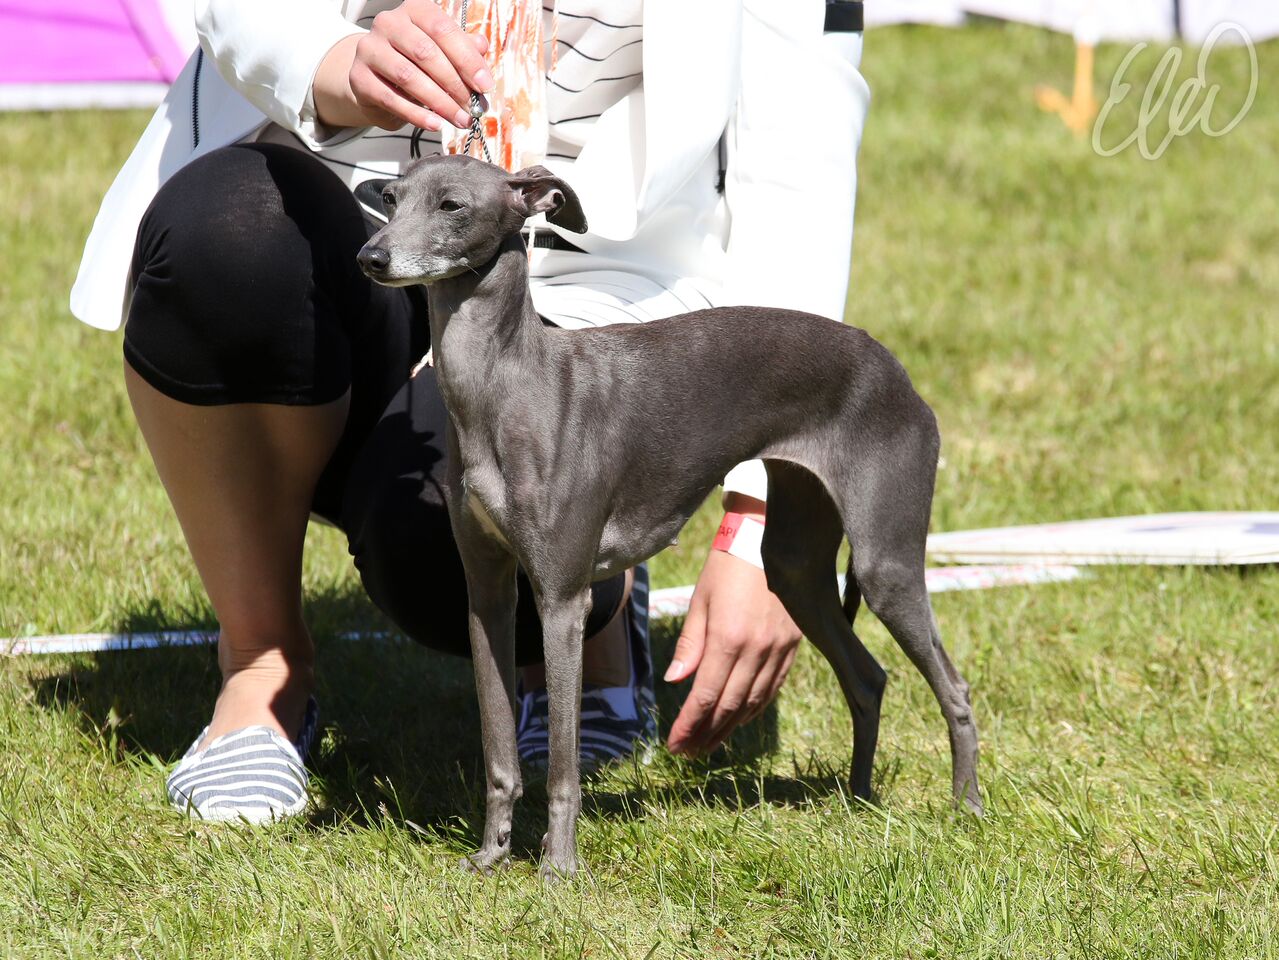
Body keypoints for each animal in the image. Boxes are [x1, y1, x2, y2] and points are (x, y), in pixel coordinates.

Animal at [357, 155, 982, 880]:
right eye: (392, 197)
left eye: (452, 205)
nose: (371, 257)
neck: (511, 387)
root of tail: (894, 369)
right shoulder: (487, 595)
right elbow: (498, 751)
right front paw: (490, 856)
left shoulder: (561, 599)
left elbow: (564, 763)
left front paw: (559, 869)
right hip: (793, 565)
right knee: (867, 676)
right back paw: (857, 802)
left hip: (885, 563)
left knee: (953, 687)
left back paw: (966, 810)